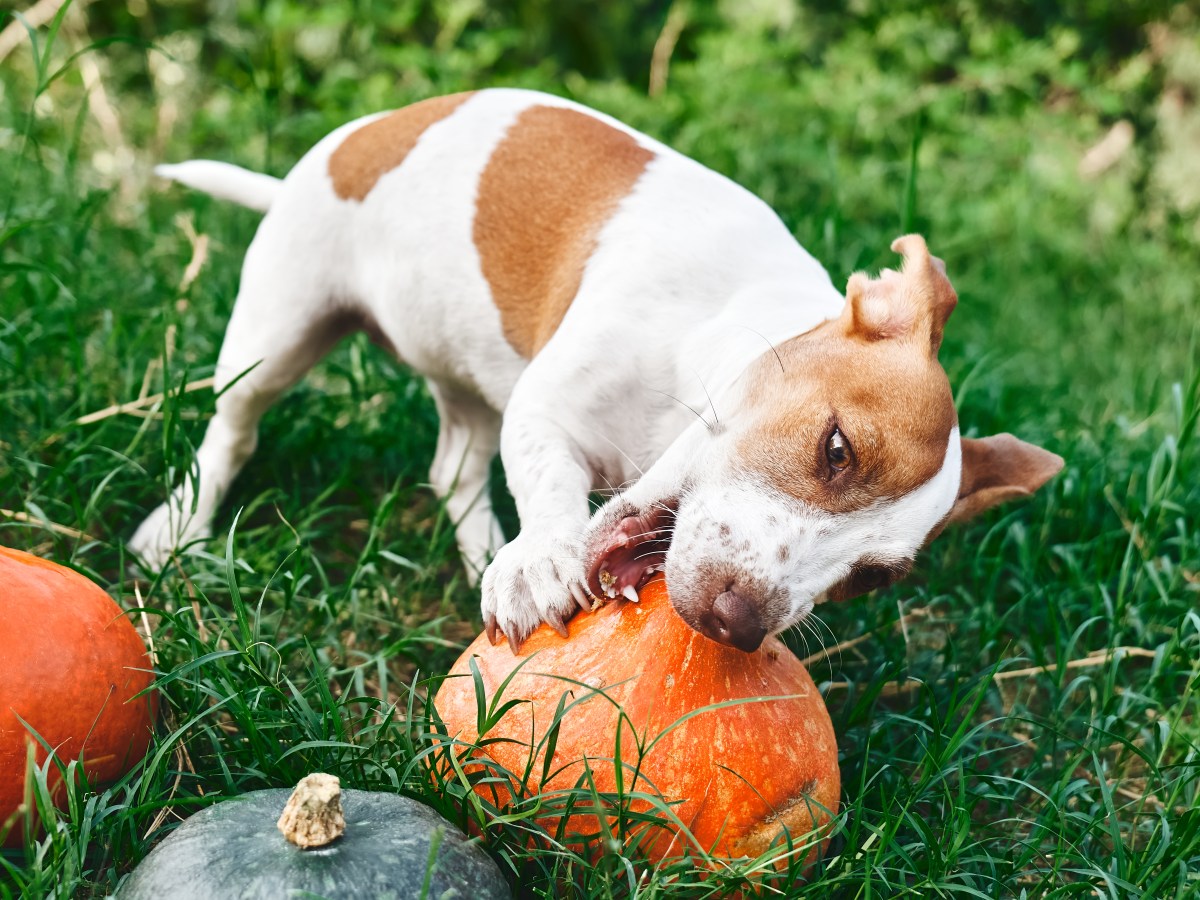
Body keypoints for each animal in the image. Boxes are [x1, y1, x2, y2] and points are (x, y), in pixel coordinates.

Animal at [131, 91, 1065, 652]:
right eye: (837, 450)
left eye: (872, 579)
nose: (736, 624)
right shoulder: (546, 412)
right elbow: (552, 486)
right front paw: (544, 556)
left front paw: (520, 561)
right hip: (276, 333)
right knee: (233, 431)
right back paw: (178, 530)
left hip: (466, 378)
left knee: (454, 467)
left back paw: (484, 552)